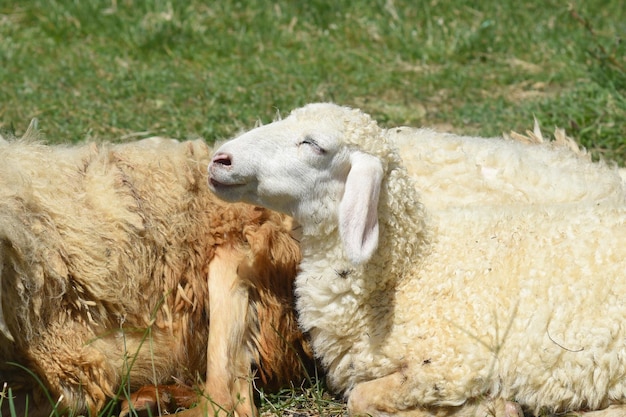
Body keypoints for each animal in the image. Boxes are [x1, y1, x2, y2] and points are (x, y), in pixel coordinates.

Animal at [208, 101, 624, 416]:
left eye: (314, 145)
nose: (220, 159)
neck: (409, 271)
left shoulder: (452, 363)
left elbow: (361, 399)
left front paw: (489, 407)